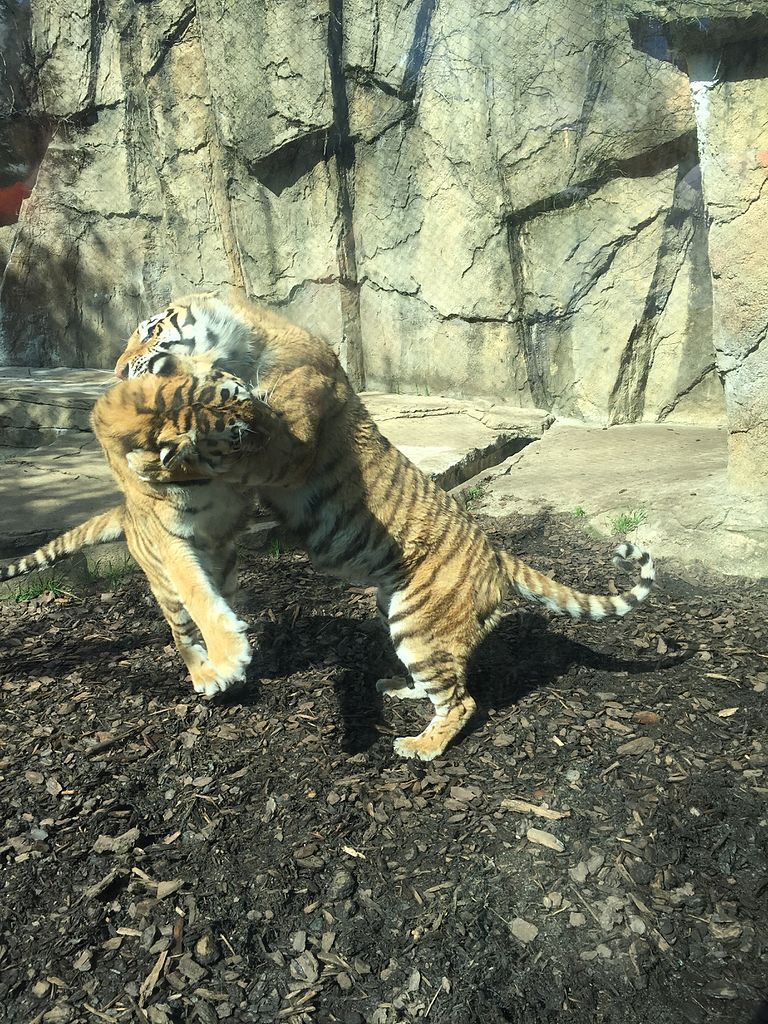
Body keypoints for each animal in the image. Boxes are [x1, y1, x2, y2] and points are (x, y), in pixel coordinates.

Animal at [2, 292, 656, 761]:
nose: (116, 370)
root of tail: (497, 553)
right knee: (440, 683)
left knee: (464, 702)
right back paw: (395, 690)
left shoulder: (283, 443)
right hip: (399, 612)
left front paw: (172, 441)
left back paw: (419, 746)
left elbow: (225, 440)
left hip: (420, 623)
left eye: (149, 329)